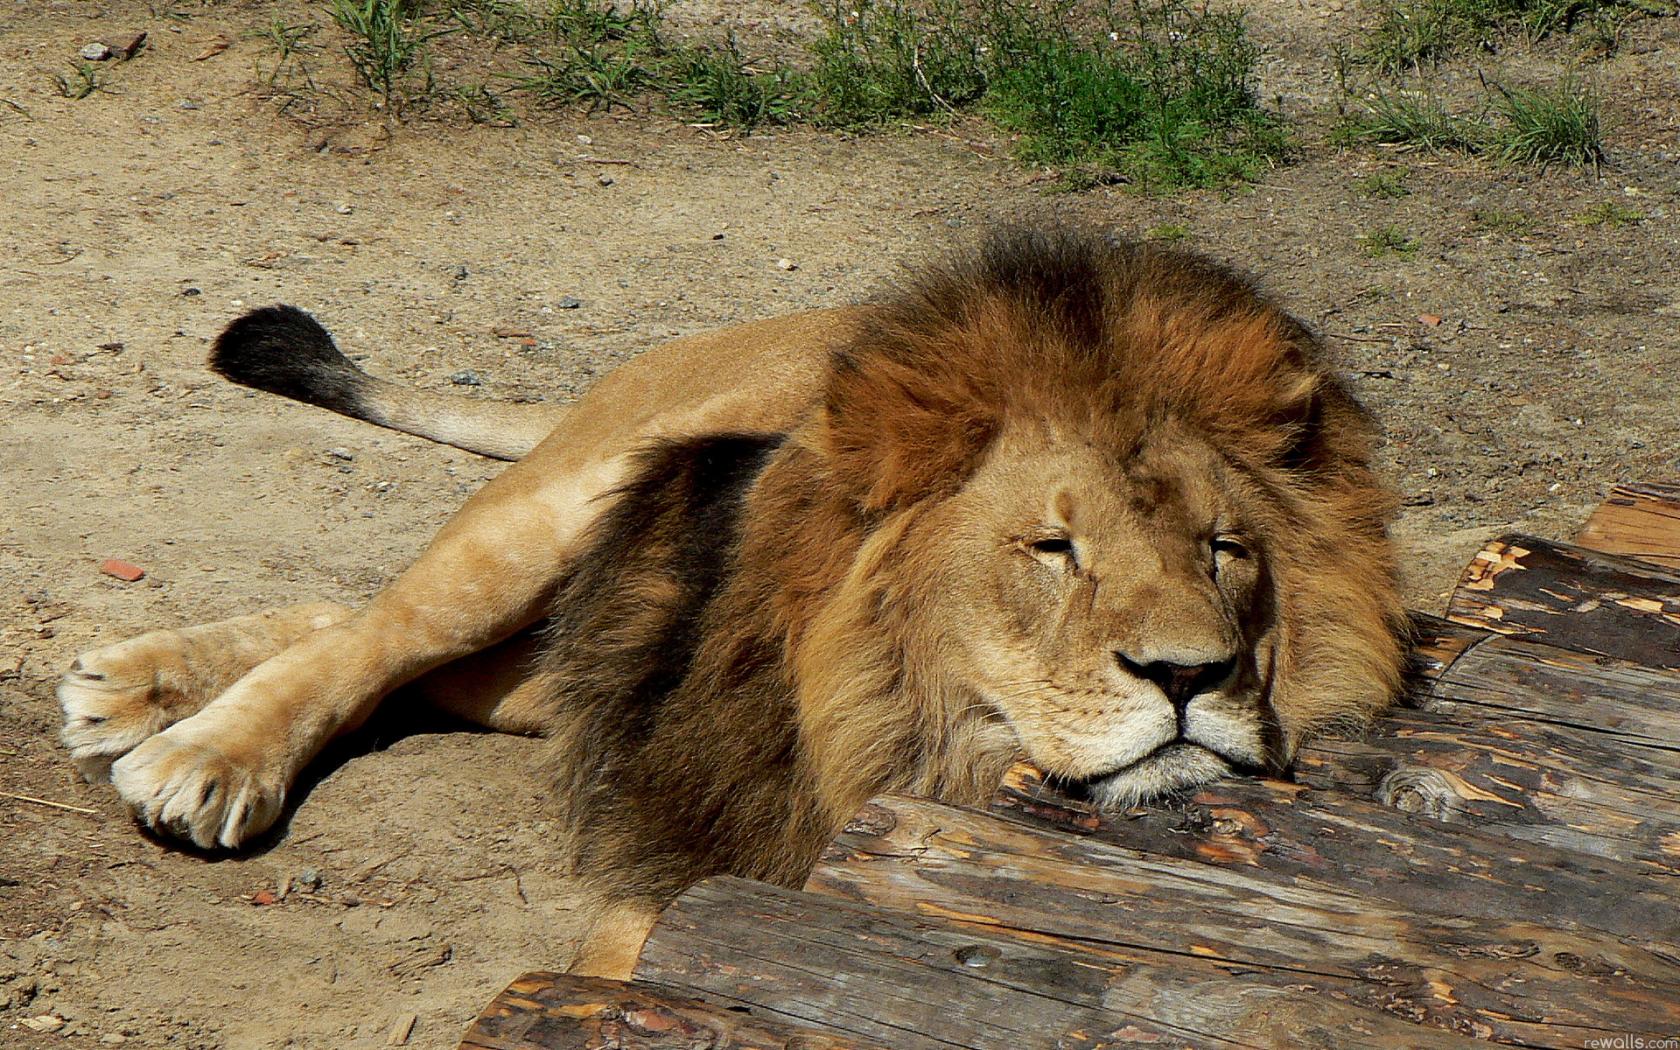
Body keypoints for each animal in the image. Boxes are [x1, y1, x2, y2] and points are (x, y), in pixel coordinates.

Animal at [59, 228, 1411, 974]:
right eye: (1052, 548)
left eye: (1226, 550)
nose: (1190, 676)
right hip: (551, 516)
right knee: (379, 628)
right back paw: (198, 755)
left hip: (572, 654)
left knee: (365, 637)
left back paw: (130, 688)